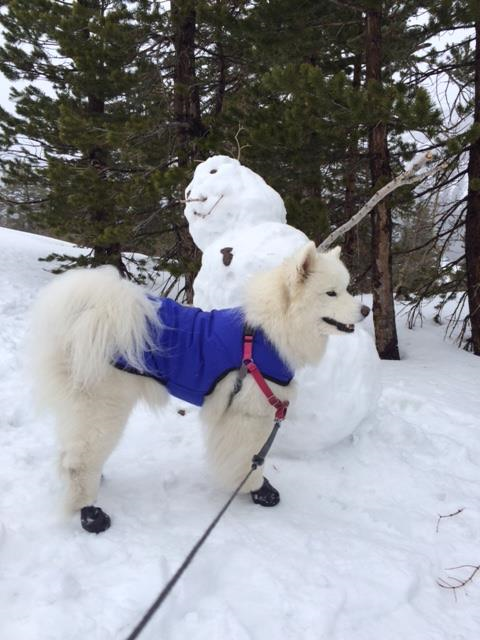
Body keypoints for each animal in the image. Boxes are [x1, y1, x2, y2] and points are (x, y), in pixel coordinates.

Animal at [29, 242, 368, 532]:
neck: (265, 333)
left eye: (346, 288)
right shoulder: (248, 415)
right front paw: (256, 489)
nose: (365, 311)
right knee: (77, 462)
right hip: (103, 407)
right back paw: (90, 514)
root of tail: (87, 312)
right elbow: (251, 457)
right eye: (331, 293)